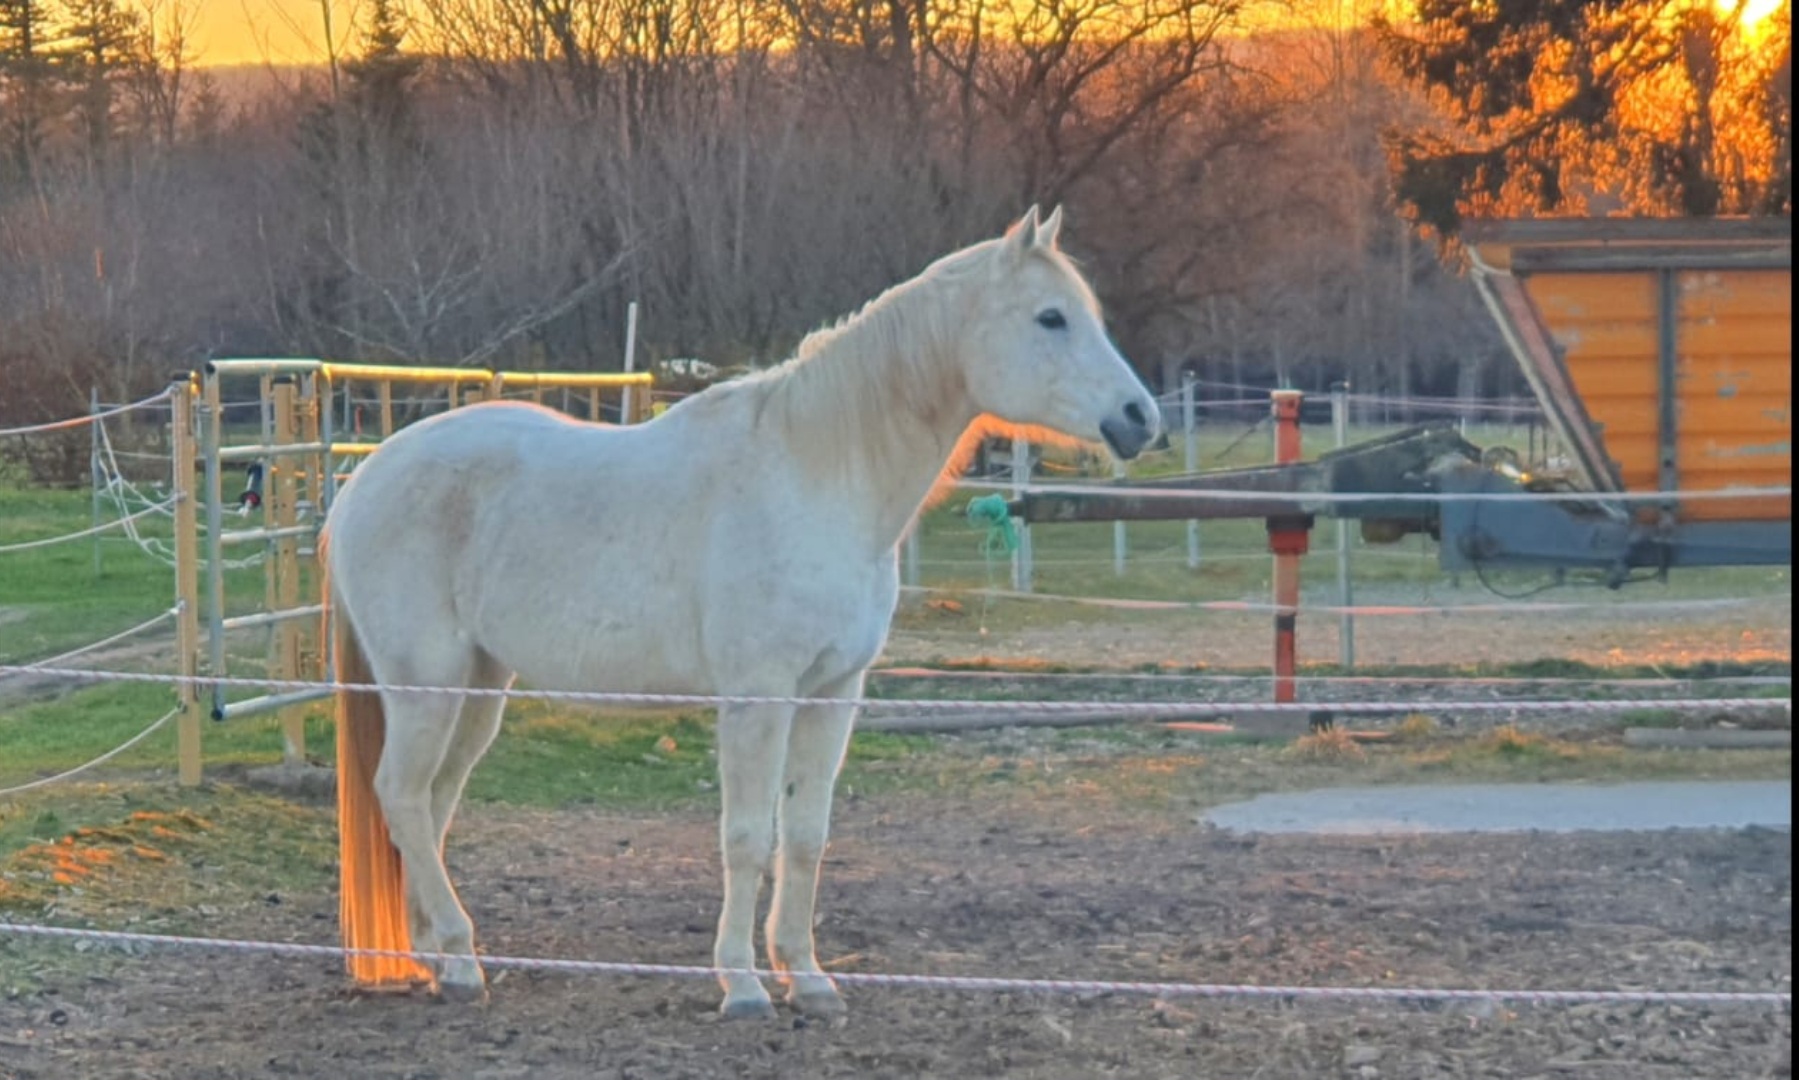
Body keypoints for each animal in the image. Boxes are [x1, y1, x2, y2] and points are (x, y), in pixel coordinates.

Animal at [323, 204, 1158, 1022]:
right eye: (1050, 317)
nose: (1139, 418)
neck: (818, 476)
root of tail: (364, 478)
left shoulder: (833, 693)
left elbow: (806, 836)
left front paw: (808, 979)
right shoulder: (758, 695)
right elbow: (749, 836)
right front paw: (743, 984)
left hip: (478, 685)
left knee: (432, 802)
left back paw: (435, 958)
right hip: (427, 683)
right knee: (403, 795)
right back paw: (462, 964)